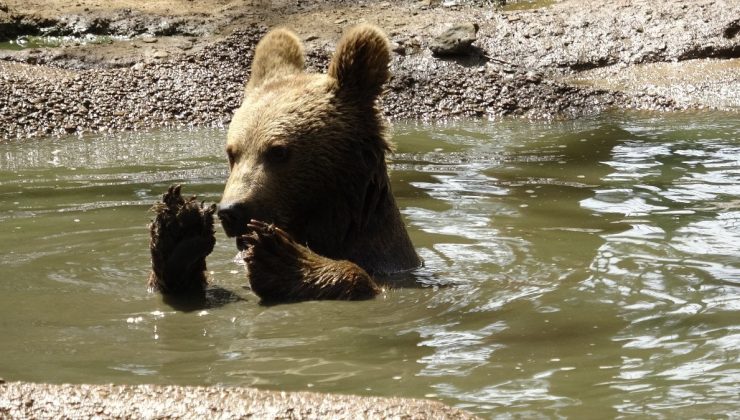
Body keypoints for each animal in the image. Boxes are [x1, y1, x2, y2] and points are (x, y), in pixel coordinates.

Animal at [147, 25, 422, 302]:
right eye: (232, 153)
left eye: (278, 151)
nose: (230, 210)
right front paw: (180, 232)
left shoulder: (390, 266)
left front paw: (285, 259)